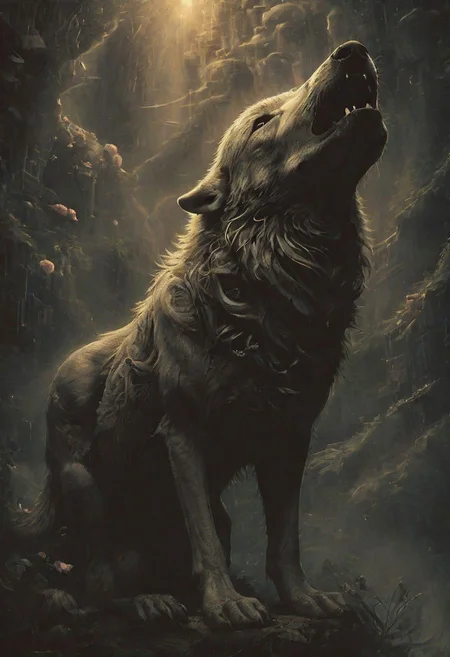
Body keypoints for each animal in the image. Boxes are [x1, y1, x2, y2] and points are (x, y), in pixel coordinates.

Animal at [17, 41, 387, 630]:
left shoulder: (290, 437)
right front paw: (227, 605)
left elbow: (285, 540)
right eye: (261, 120)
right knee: (94, 578)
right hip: (82, 485)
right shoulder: (183, 434)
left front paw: (303, 600)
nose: (352, 51)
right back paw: (143, 601)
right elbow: (204, 543)